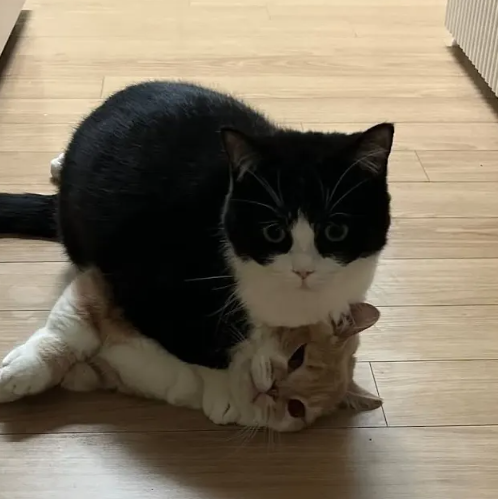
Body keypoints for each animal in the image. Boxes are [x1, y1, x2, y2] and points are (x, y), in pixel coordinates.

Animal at [0, 268, 382, 432]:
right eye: (297, 356)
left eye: (296, 408)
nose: (272, 390)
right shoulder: (100, 288)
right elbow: (64, 334)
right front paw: (20, 373)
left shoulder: (107, 372)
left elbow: (77, 365)